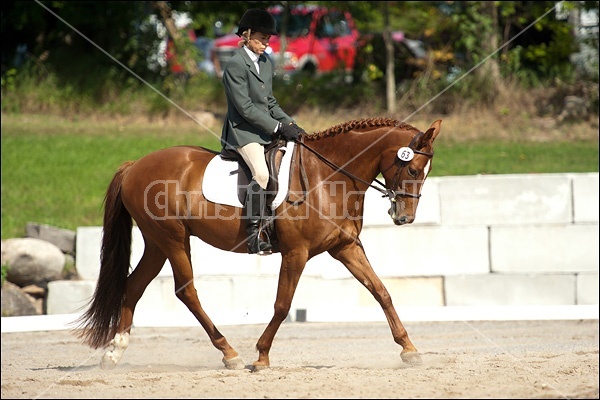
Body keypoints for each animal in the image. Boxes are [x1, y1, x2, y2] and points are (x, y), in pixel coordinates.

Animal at [74, 117, 440, 370]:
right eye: (413, 169)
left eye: (425, 172)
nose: (404, 217)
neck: (328, 176)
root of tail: (134, 165)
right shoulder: (296, 252)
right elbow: (282, 304)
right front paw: (261, 356)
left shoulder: (345, 247)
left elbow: (381, 291)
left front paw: (409, 349)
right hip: (173, 239)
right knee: (186, 291)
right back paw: (230, 353)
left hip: (156, 243)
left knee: (134, 285)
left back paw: (114, 353)